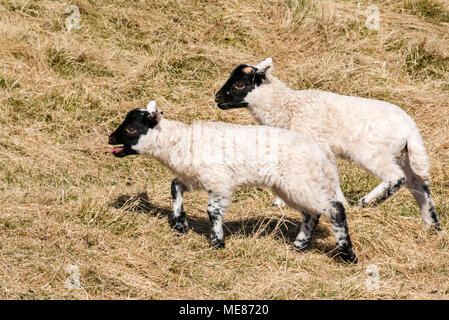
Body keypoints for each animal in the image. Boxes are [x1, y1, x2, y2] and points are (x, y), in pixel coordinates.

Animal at [107, 100, 356, 262]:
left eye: (131, 128)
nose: (110, 139)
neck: (179, 141)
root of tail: (323, 155)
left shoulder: (220, 182)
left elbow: (212, 211)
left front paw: (217, 242)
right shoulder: (195, 177)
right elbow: (174, 186)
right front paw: (180, 223)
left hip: (300, 181)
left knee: (334, 209)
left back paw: (347, 254)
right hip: (293, 185)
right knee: (311, 214)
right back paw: (300, 245)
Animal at [214, 56, 440, 229]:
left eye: (239, 84)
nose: (217, 98)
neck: (287, 107)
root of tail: (410, 128)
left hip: (375, 152)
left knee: (397, 177)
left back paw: (367, 202)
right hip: (404, 156)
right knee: (419, 186)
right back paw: (431, 227)